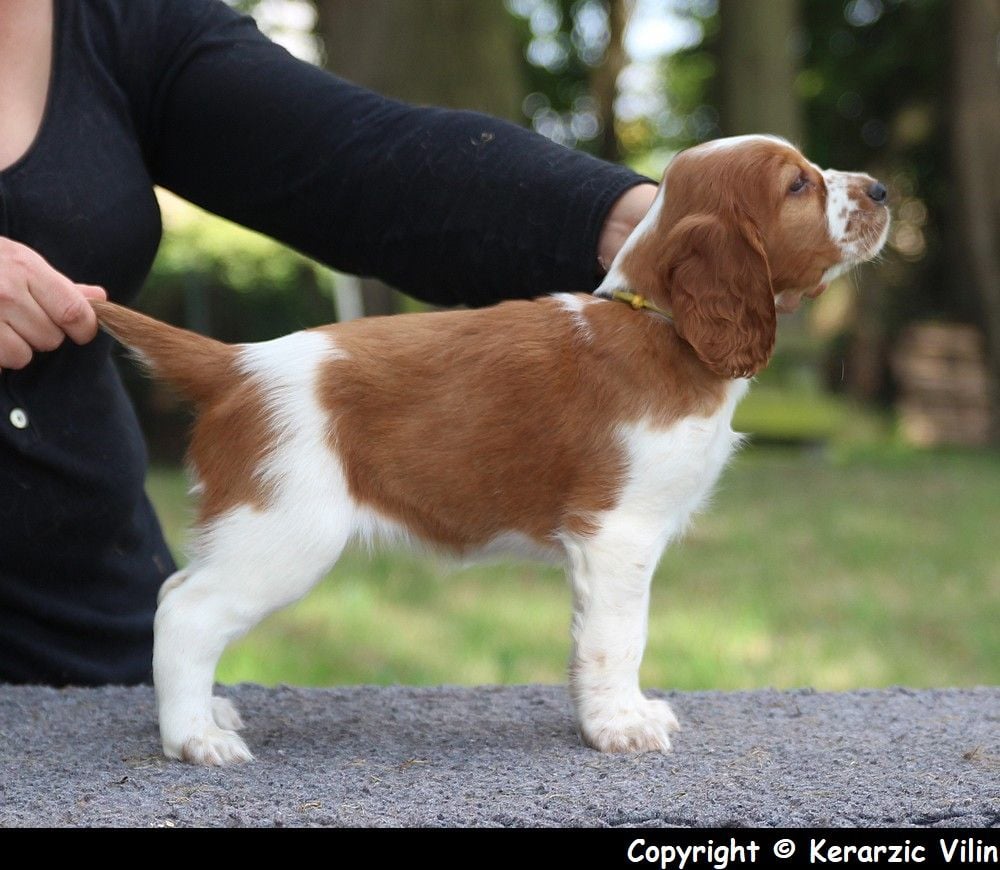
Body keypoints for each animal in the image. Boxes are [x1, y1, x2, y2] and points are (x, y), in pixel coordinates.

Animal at [94, 133, 892, 768]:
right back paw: (195, 737)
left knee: (176, 592)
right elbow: (619, 637)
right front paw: (619, 728)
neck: (661, 327)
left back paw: (206, 710)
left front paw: (624, 714)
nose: (882, 189)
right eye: (797, 185)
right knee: (186, 611)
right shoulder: (617, 533)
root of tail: (235, 363)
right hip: (285, 530)